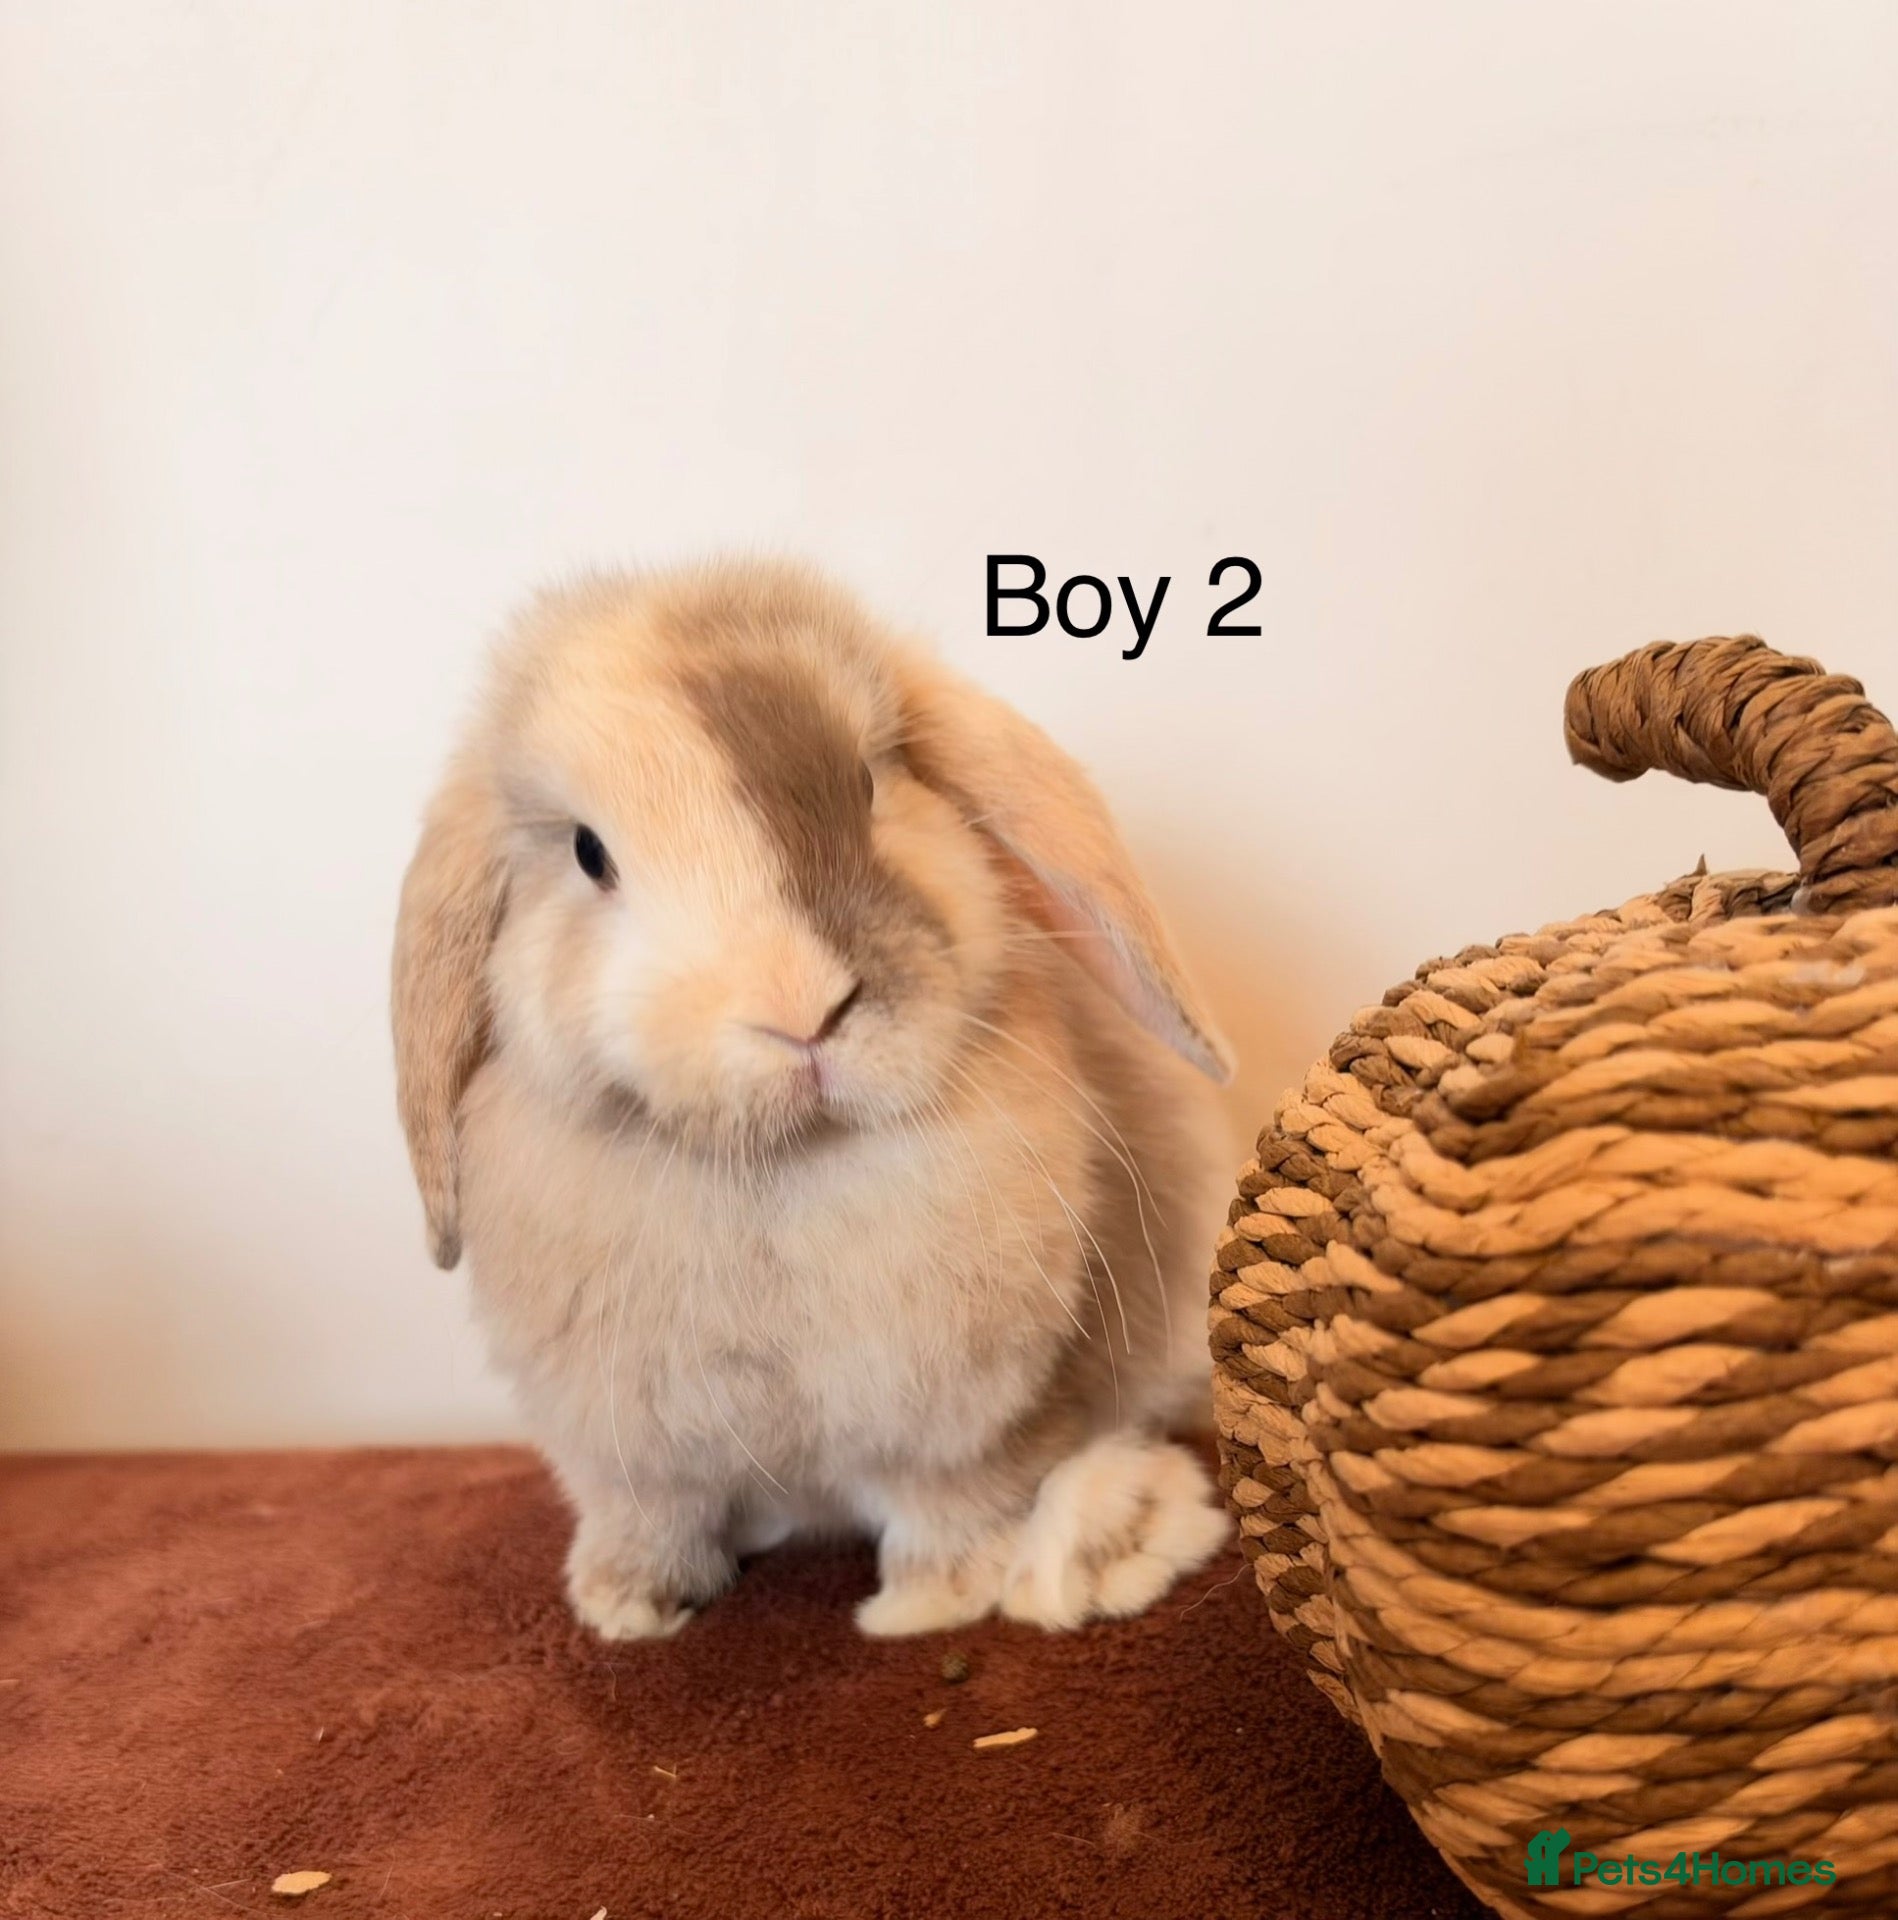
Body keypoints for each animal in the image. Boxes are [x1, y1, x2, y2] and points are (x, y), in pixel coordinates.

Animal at [392, 559, 1237, 1640]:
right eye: (587, 853)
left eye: (868, 784)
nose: (804, 1012)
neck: (782, 1166)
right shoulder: (631, 1456)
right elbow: (653, 1515)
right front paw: (627, 1609)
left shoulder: (966, 1428)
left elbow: (956, 1503)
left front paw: (935, 1604)